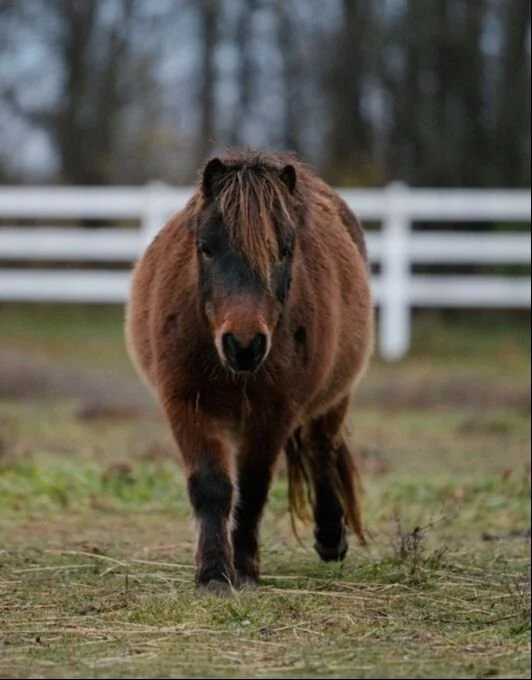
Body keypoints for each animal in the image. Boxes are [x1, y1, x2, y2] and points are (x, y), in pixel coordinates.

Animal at [125, 150, 374, 592]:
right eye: (205, 247)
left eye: (285, 250)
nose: (243, 345)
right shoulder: (187, 405)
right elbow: (211, 486)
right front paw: (213, 573)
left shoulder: (273, 413)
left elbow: (254, 488)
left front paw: (243, 568)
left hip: (334, 398)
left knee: (322, 448)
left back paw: (330, 537)